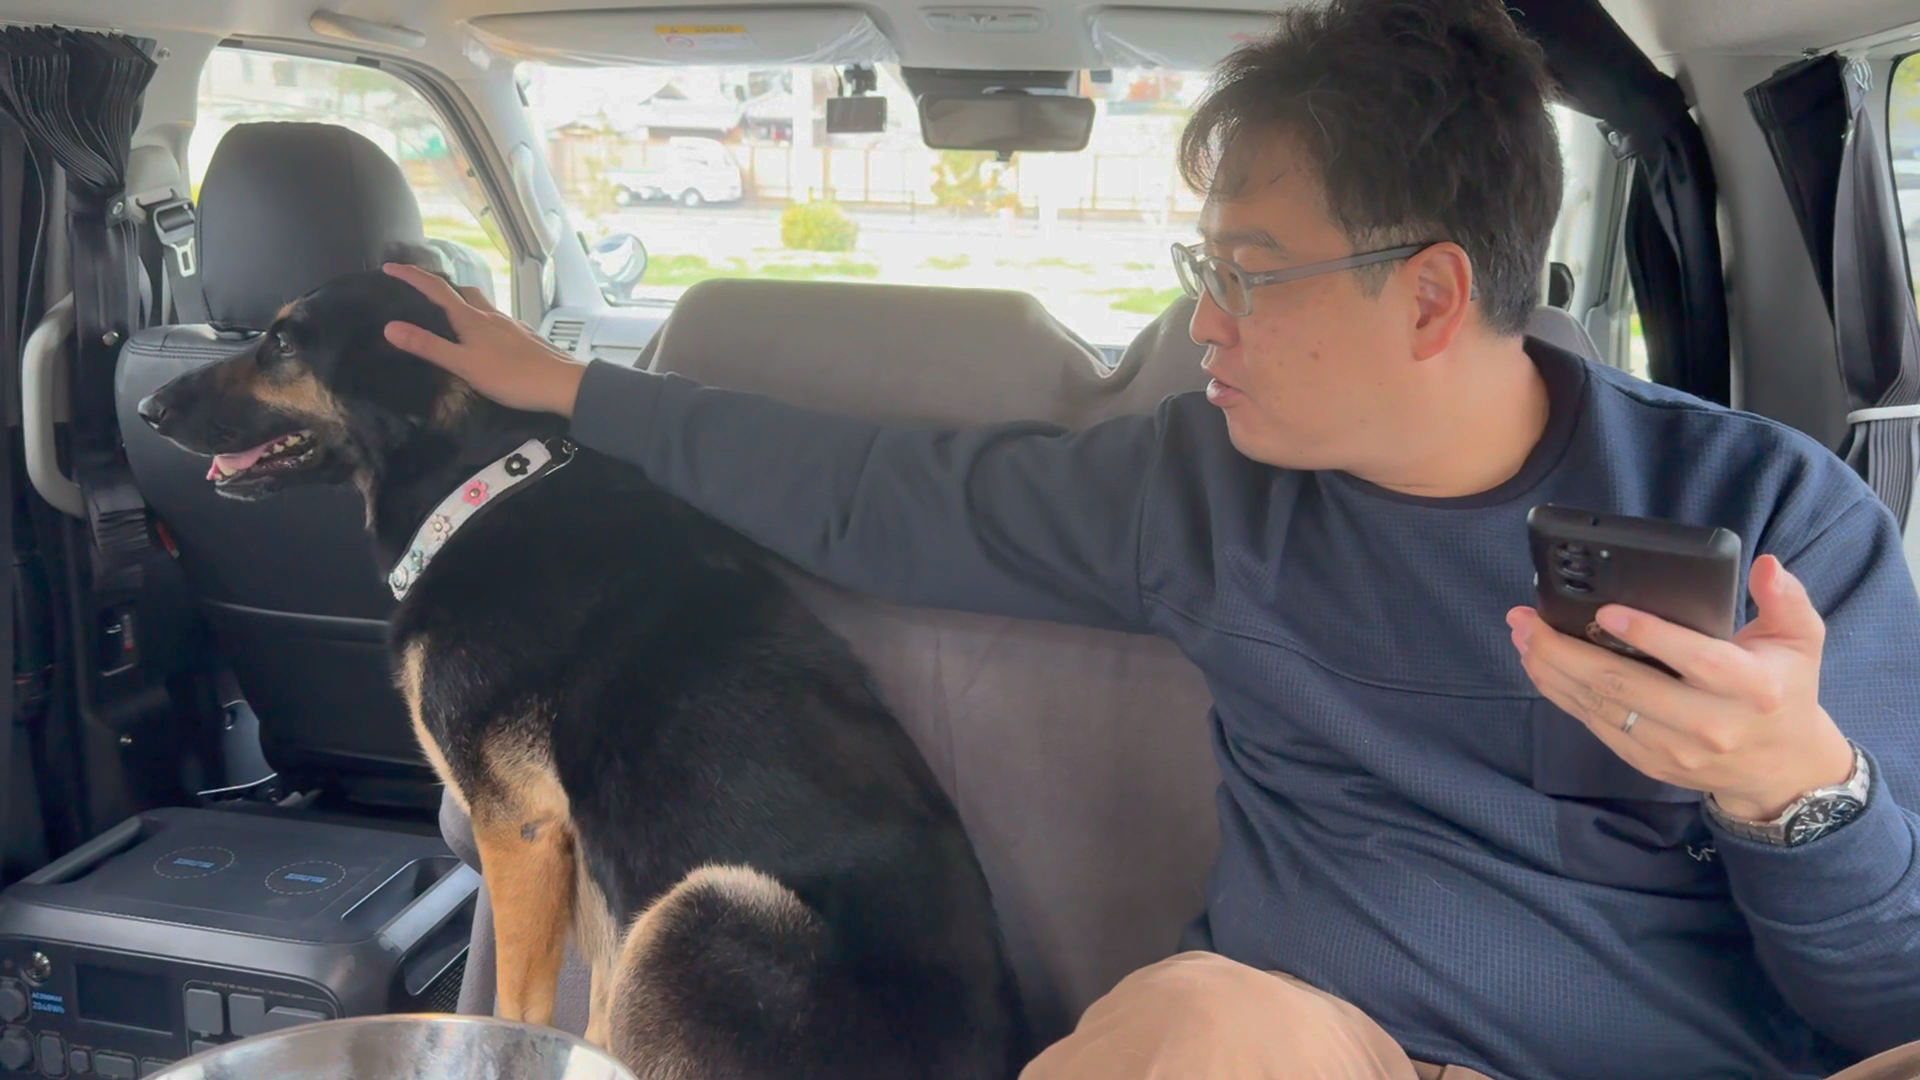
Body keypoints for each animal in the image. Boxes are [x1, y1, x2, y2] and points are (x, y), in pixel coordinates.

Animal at [135, 259, 1031, 1079]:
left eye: (284, 343)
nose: (147, 409)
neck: (481, 488)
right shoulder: (591, 867)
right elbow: (589, 1010)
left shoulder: (517, 829)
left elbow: (515, 1009)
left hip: (704, 909)